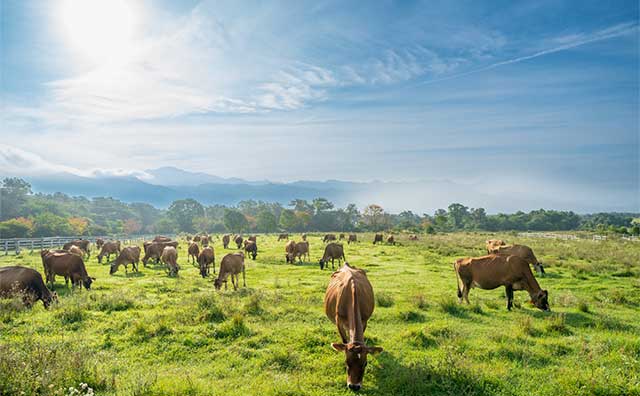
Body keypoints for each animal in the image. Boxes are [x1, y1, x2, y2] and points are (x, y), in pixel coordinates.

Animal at [322, 262, 382, 390]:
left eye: (365, 363)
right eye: (346, 362)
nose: (354, 386)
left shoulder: (364, 320)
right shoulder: (338, 321)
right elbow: (344, 341)